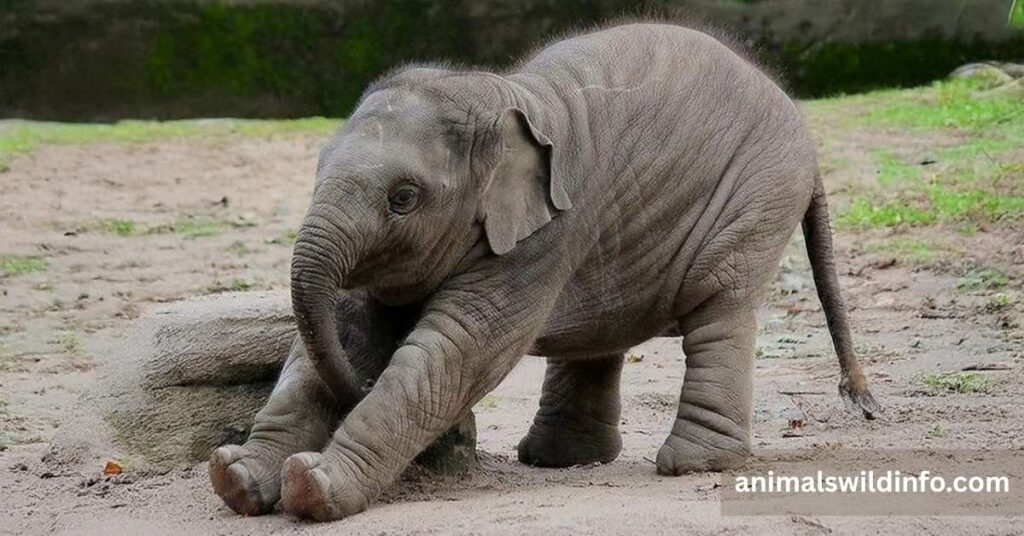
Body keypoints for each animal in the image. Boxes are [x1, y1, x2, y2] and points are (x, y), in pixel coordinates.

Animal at [209, 22, 880, 521]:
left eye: (403, 198)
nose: (358, 388)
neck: (497, 95)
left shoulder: (548, 235)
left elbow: (459, 348)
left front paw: (312, 486)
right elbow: (348, 332)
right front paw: (236, 477)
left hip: (758, 192)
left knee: (720, 306)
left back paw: (692, 465)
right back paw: (557, 460)